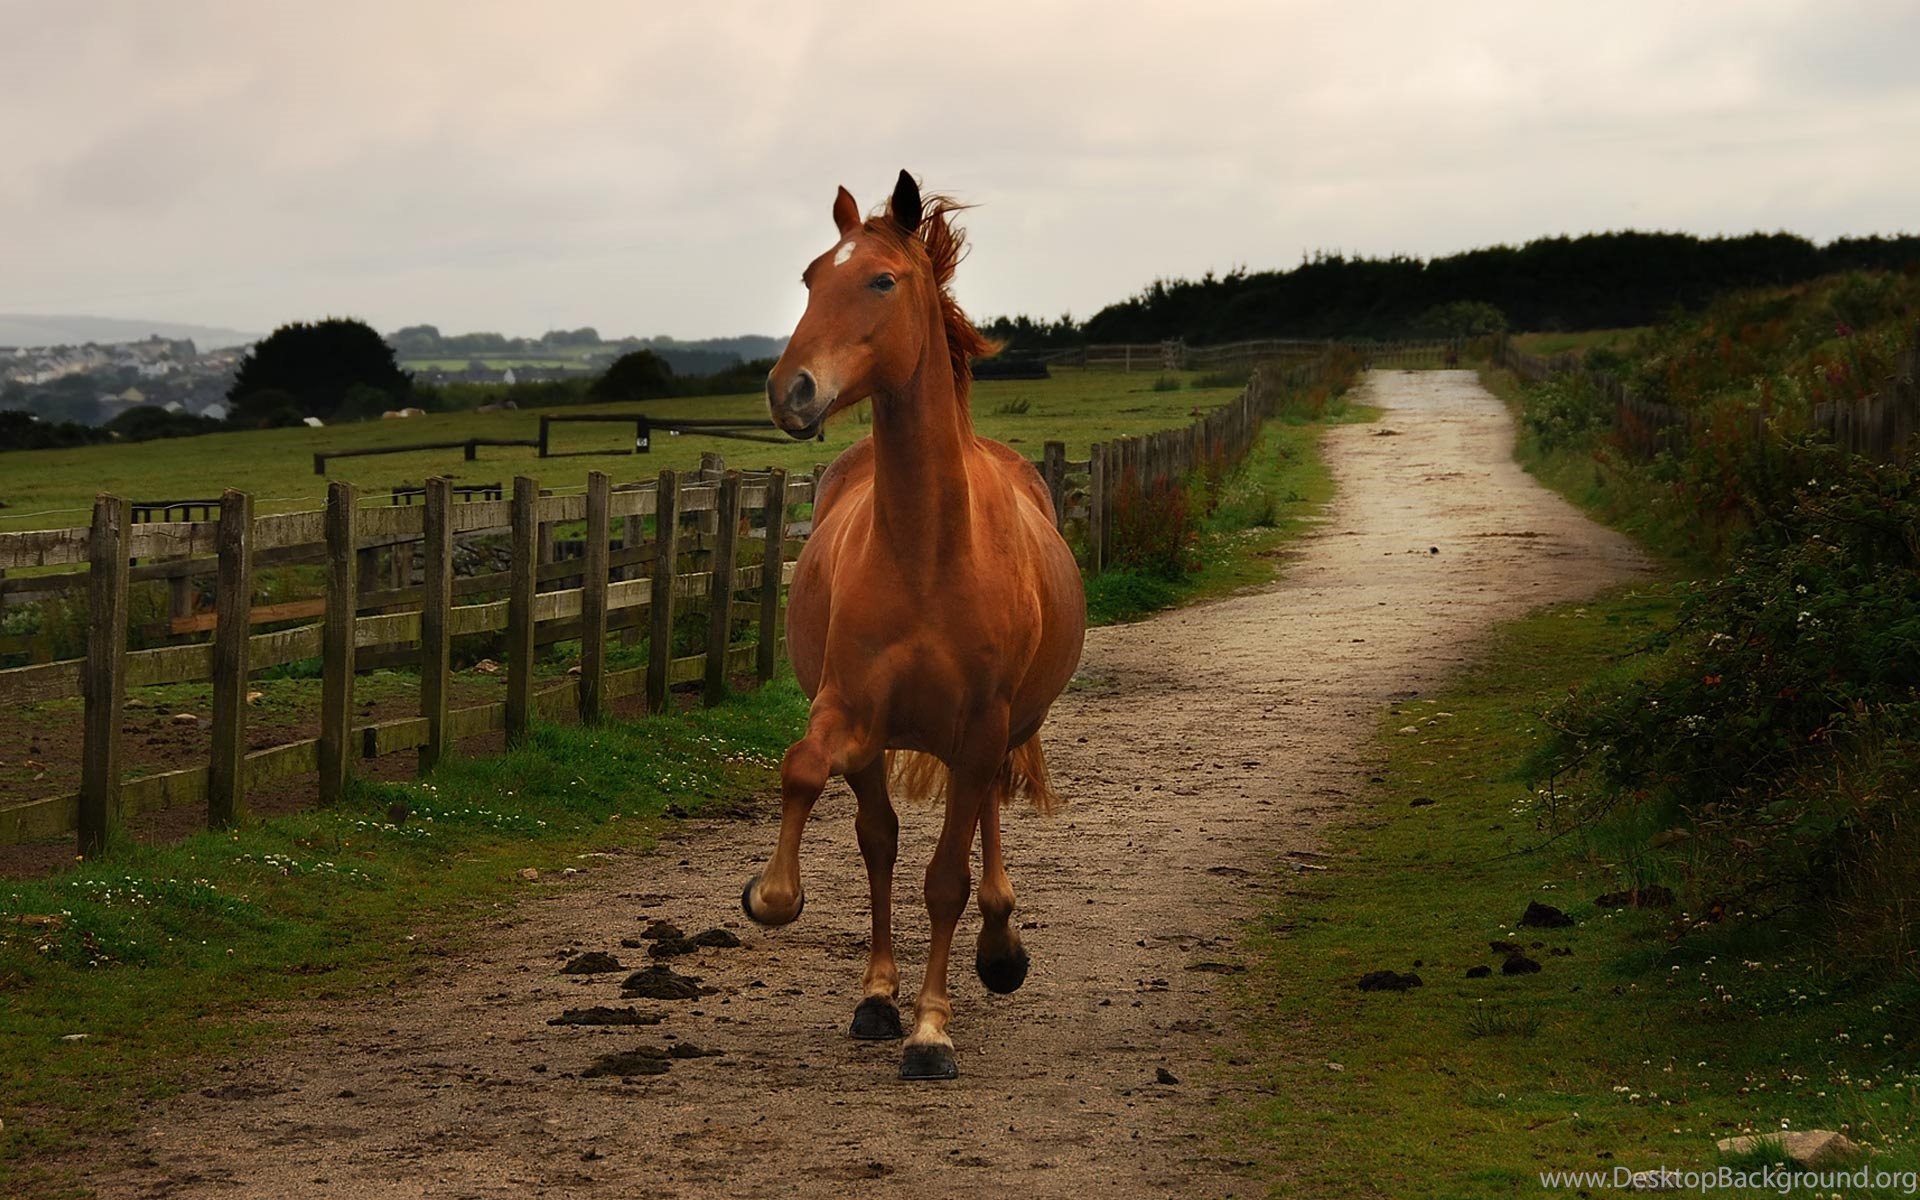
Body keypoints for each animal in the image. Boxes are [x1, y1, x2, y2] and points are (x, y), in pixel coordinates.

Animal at [744, 171, 1086, 1080]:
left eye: (881, 281)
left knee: (985, 822)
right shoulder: (848, 709)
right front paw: (774, 896)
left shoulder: (980, 726)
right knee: (880, 840)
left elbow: (946, 881)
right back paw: (876, 996)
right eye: (809, 278)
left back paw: (999, 949)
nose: (791, 390)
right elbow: (807, 775)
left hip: (1004, 731)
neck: (930, 549)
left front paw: (933, 1032)